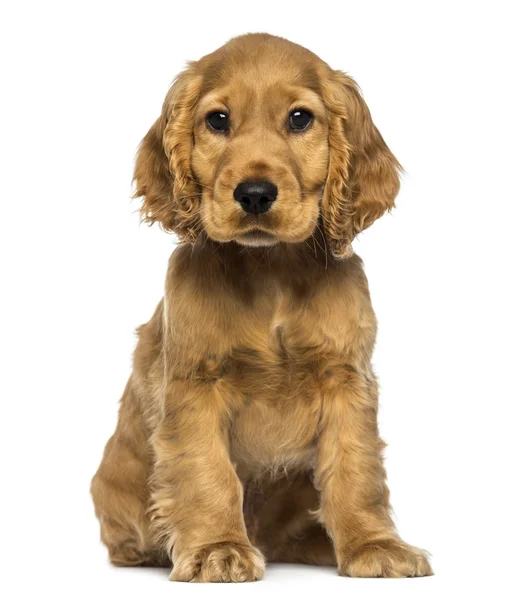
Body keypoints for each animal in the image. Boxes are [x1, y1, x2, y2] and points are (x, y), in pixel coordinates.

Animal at [91, 32, 432, 580]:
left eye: (299, 118)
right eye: (217, 120)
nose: (254, 193)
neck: (270, 270)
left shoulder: (346, 379)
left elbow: (356, 471)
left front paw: (373, 545)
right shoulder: (196, 385)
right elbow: (206, 472)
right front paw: (217, 548)